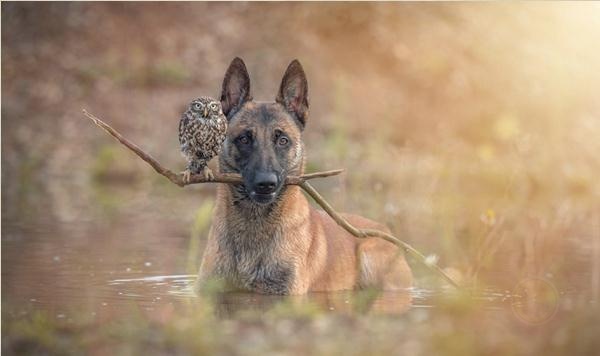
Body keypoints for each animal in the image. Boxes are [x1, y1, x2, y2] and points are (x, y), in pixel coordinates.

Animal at [197, 56, 412, 294]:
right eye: (244, 139)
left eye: (283, 140)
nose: (266, 184)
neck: (253, 225)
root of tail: (384, 229)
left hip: (370, 255)